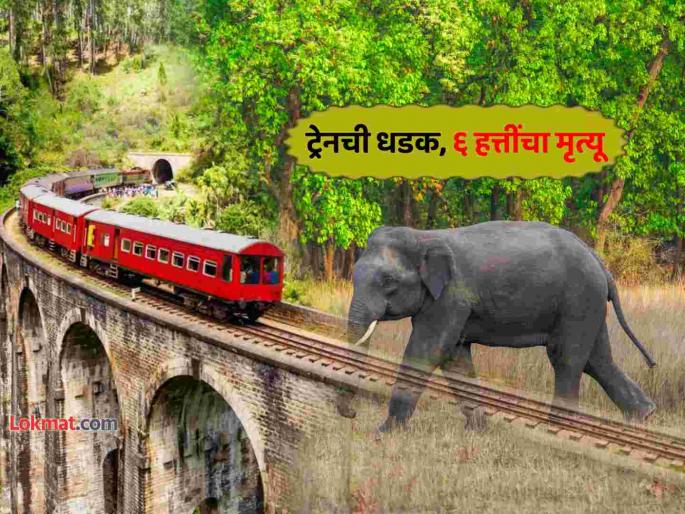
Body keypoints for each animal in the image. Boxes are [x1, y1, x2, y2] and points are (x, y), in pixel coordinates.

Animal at [346, 222, 657, 433]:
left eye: (388, 281)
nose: (350, 415)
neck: (424, 235)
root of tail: (600, 263)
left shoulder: (451, 296)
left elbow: (428, 350)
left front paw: (383, 433)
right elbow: (454, 357)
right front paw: (478, 430)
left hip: (579, 300)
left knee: (567, 359)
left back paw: (558, 432)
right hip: (588, 304)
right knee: (598, 360)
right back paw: (644, 417)